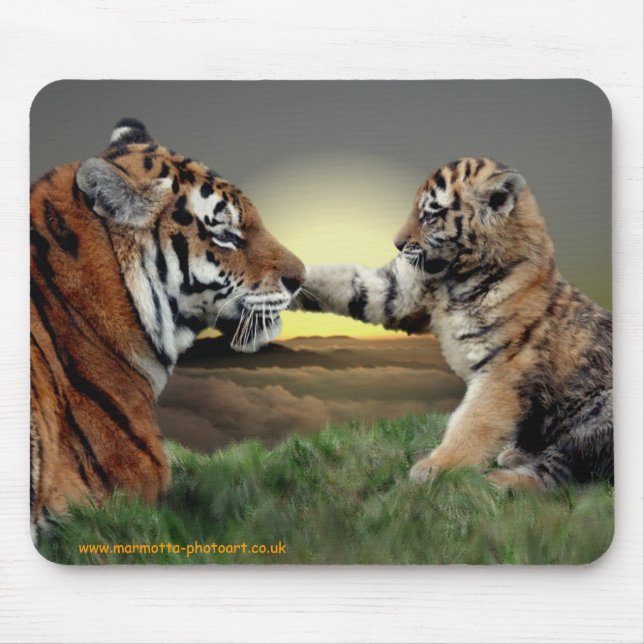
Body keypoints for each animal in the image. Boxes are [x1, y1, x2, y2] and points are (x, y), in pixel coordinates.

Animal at [294, 157, 613, 489]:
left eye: (430, 215)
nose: (397, 244)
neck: (455, 276)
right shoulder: (401, 290)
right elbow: (348, 282)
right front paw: (289, 279)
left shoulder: (502, 370)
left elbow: (472, 422)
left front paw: (439, 466)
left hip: (599, 412)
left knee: (561, 471)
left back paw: (496, 481)